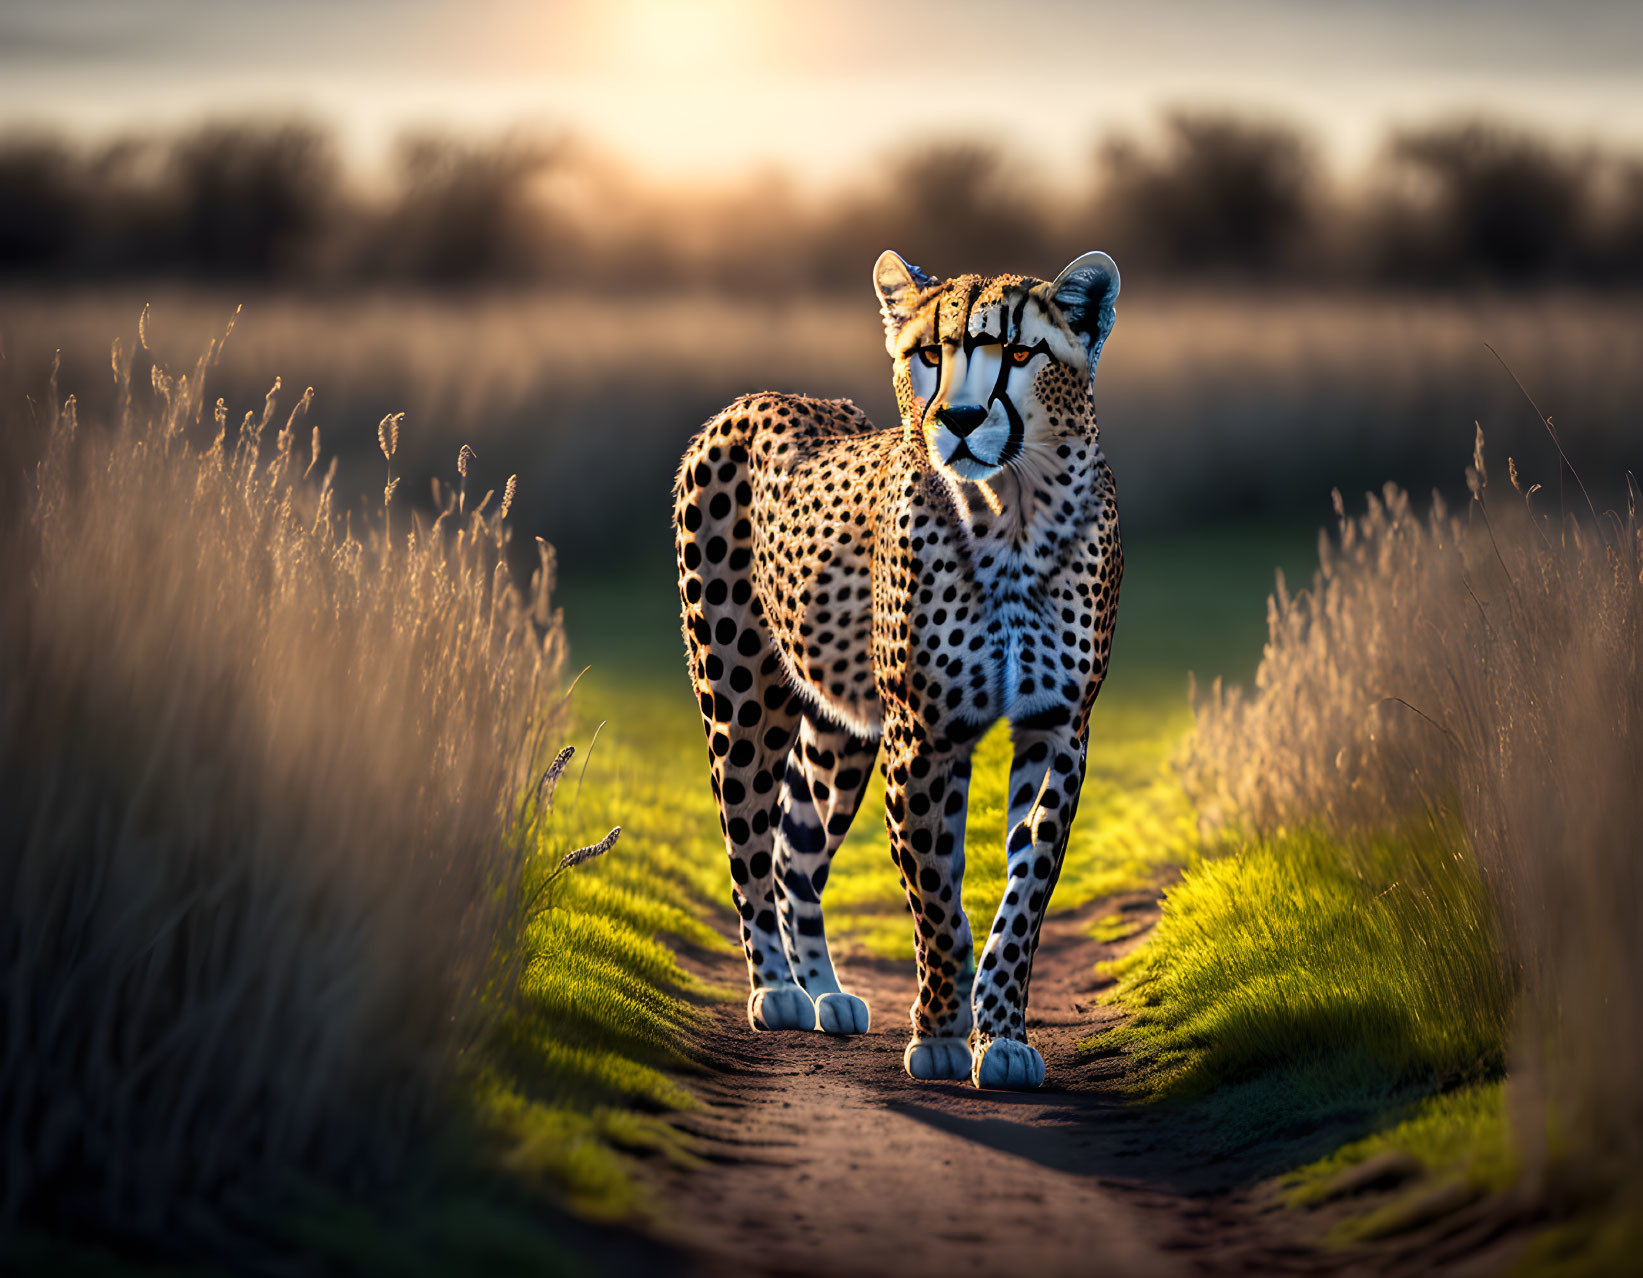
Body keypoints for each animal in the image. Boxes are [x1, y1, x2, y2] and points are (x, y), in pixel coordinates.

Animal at [673, 249, 1123, 1084]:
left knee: (794, 852)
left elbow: (1024, 893)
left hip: (840, 734)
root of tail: (757, 397)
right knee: (748, 840)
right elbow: (935, 896)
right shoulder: (922, 734)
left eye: (1019, 354)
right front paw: (942, 1034)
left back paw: (824, 992)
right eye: (928, 355)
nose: (960, 420)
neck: (1011, 510)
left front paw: (1000, 1034)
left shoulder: (1057, 729)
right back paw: (777, 990)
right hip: (743, 694)